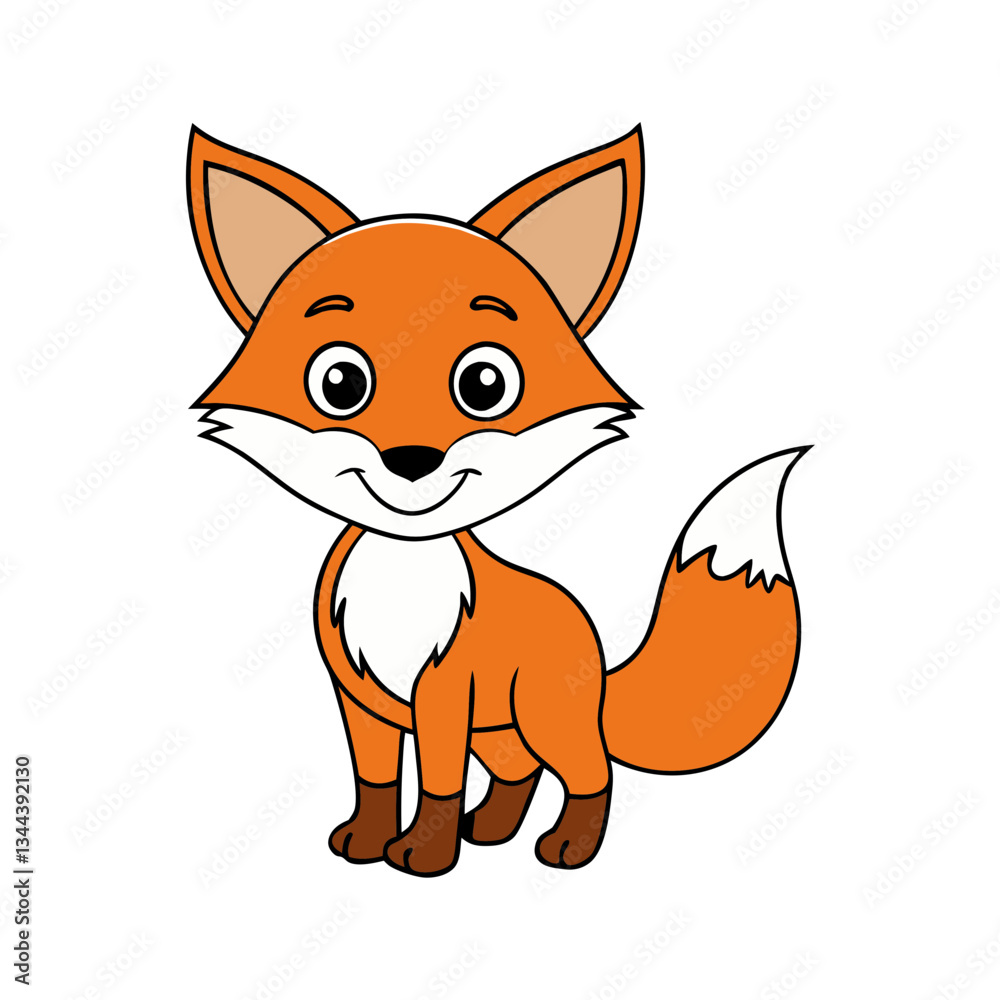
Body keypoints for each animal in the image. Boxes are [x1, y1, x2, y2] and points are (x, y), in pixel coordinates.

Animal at [186, 123, 805, 876]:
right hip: (502, 727)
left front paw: (423, 856)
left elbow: (437, 783)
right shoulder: (361, 698)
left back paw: (567, 847)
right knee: (520, 771)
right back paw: (491, 829)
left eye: (485, 384)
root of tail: (594, 647)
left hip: (542, 717)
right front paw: (367, 841)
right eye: (340, 382)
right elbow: (376, 778)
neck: (402, 580)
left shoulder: (443, 694)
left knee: (590, 773)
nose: (412, 461)